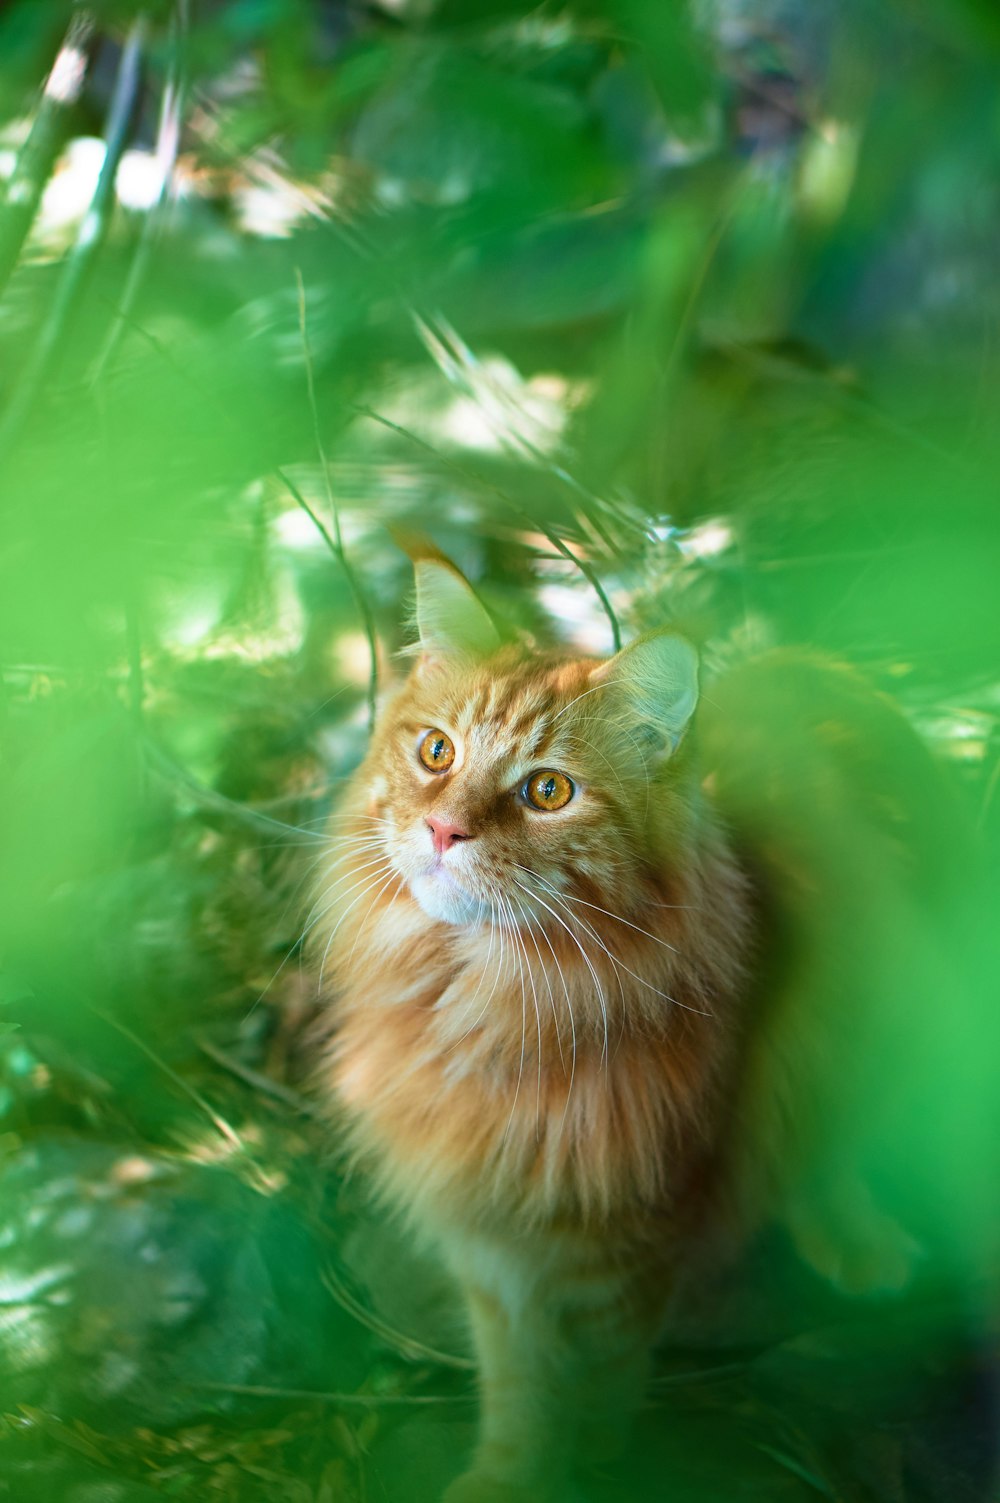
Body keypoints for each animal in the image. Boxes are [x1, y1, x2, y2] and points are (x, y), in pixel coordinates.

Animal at [312, 562, 926, 1503]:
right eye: (437, 752)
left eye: (548, 791)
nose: (444, 830)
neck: (476, 1008)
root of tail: (806, 663)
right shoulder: (492, 1238)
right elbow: (518, 1383)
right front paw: (511, 1474)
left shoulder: (637, 1233)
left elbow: (600, 1377)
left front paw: (597, 1464)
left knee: (830, 1149)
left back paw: (856, 1240)